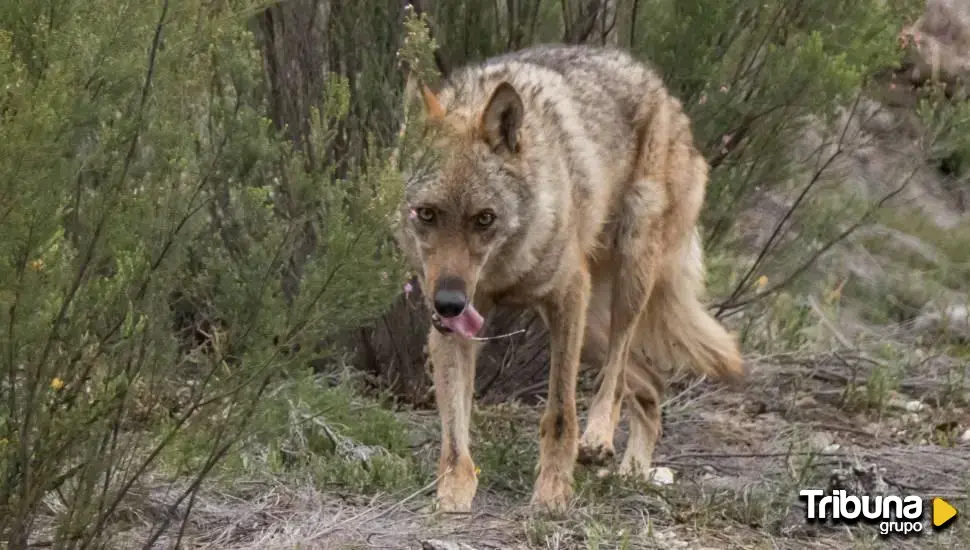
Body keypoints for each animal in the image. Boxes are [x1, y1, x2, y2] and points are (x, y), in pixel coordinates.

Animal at [394, 45, 740, 516]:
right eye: (426, 214)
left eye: (484, 219)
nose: (448, 302)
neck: (504, 269)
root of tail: (666, 94)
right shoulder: (455, 327)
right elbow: (453, 429)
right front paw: (454, 491)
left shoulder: (567, 296)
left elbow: (559, 413)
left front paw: (553, 492)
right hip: (591, 328)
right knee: (651, 385)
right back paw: (633, 472)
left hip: (625, 279)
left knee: (617, 375)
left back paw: (599, 438)